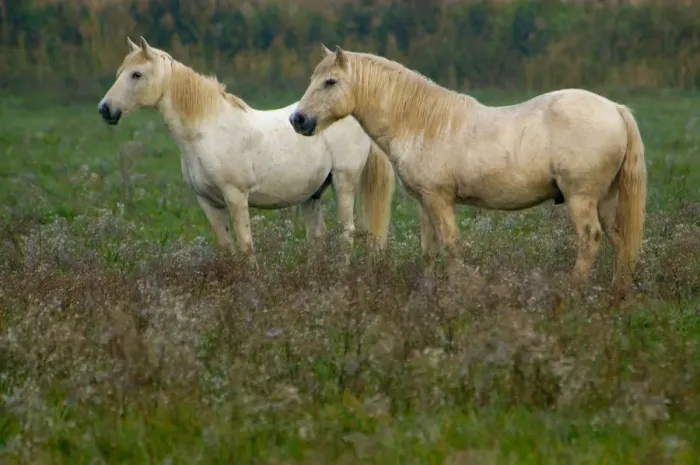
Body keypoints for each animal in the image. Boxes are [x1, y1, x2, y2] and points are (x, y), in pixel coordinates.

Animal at [97, 37, 395, 266]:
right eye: (120, 72)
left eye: (136, 74)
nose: (105, 109)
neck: (206, 131)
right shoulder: (208, 202)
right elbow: (227, 249)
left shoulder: (236, 196)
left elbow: (245, 247)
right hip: (313, 194)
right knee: (317, 237)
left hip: (344, 181)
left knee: (346, 234)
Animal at [289, 45, 647, 297]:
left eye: (330, 82)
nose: (298, 119)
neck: (421, 123)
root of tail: (615, 109)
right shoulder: (426, 203)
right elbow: (430, 250)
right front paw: (429, 292)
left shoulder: (440, 200)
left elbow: (451, 246)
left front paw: (457, 293)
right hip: (606, 199)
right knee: (619, 240)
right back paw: (616, 293)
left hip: (581, 198)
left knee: (590, 240)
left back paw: (571, 293)